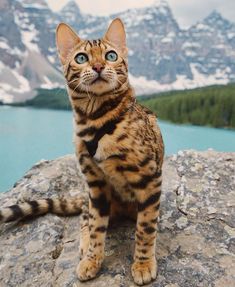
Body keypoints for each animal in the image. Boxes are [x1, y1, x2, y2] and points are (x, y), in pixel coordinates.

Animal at [0, 19, 164, 286]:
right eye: (81, 58)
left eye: (111, 56)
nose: (98, 66)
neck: (96, 120)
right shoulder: (95, 183)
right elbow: (97, 227)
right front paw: (92, 259)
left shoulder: (149, 178)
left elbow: (146, 228)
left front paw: (143, 264)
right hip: (92, 196)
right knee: (85, 218)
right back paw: (85, 243)